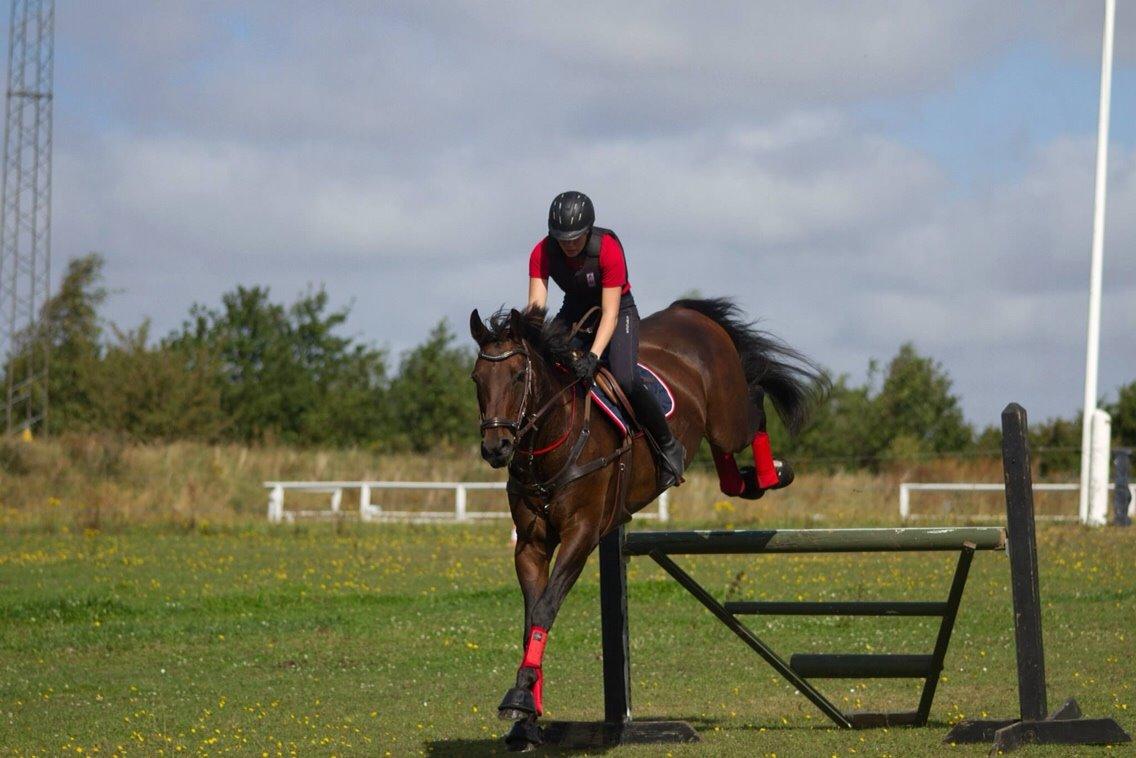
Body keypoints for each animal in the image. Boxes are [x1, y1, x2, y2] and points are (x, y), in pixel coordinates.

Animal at [470, 295, 827, 745]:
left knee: (756, 404)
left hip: (728, 415)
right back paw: (742, 480)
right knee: (726, 458)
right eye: (476, 378)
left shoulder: (581, 535)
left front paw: (520, 700)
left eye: (518, 375)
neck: (551, 441)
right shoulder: (531, 545)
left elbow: (545, 610)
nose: (496, 448)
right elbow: (532, 618)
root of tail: (688, 313)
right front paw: (527, 717)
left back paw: (773, 473)